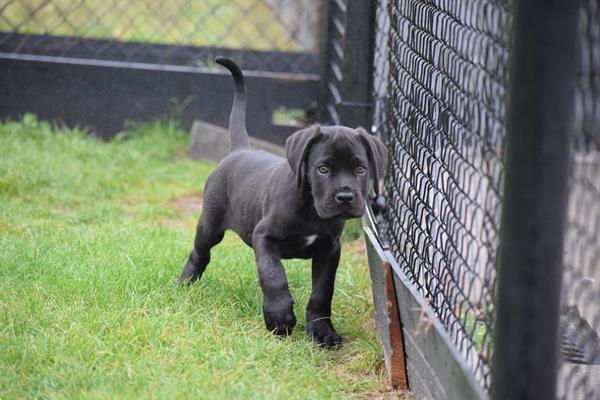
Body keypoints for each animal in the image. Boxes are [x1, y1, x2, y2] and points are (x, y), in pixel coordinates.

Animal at [178, 57, 386, 348]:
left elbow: (322, 292)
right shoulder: (264, 237)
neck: (311, 210)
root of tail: (241, 149)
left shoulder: (329, 249)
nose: (345, 197)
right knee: (200, 252)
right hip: (210, 225)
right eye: (323, 169)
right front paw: (279, 317)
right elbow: (273, 275)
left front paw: (323, 332)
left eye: (360, 169)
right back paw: (185, 283)